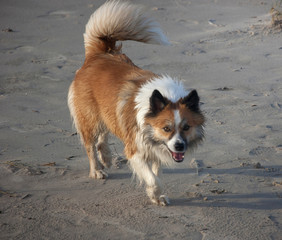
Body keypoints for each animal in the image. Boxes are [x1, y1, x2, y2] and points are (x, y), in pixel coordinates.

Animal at [68, 0, 205, 205]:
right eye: (166, 128)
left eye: (186, 127)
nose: (179, 146)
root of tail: (97, 55)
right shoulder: (136, 151)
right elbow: (153, 178)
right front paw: (155, 193)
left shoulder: (155, 149)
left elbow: (156, 173)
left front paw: (156, 196)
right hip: (89, 117)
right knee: (90, 144)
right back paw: (97, 169)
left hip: (108, 112)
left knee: (104, 134)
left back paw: (106, 157)